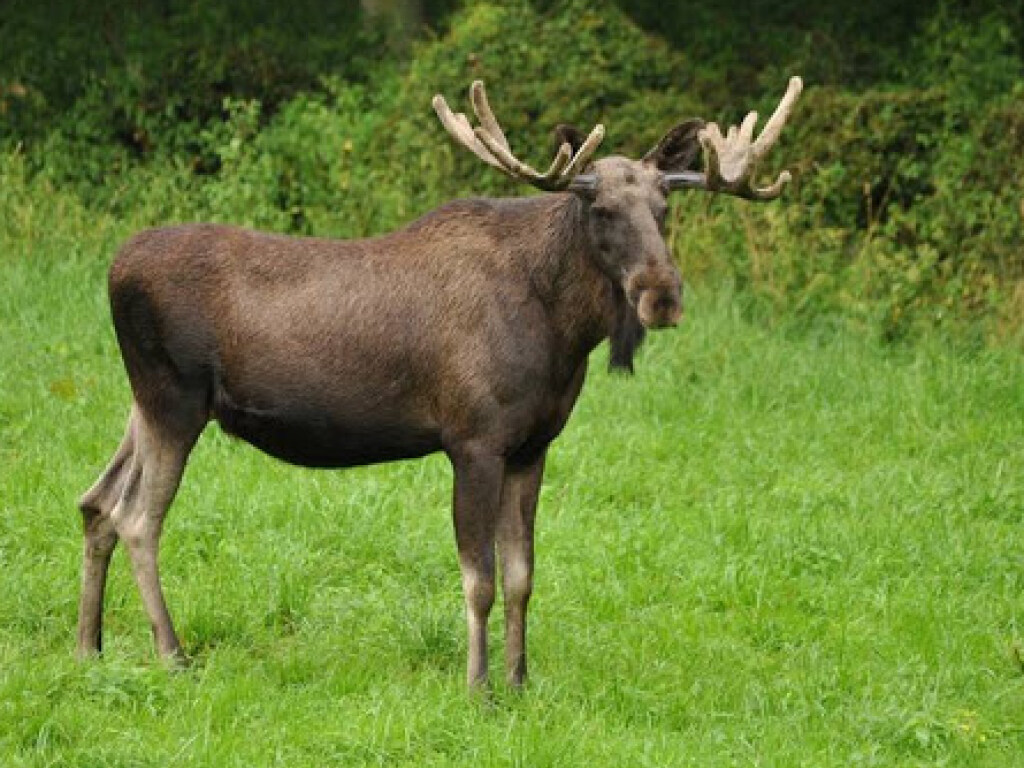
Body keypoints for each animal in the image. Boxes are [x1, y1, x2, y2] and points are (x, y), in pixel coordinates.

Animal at [77, 79, 798, 692]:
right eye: (600, 208)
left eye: (664, 206)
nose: (662, 295)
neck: (561, 333)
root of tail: (111, 269)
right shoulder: (472, 438)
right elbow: (479, 578)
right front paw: (478, 687)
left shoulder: (533, 445)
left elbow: (523, 575)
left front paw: (520, 680)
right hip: (173, 399)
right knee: (137, 518)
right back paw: (172, 654)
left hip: (145, 405)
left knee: (95, 501)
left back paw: (90, 646)